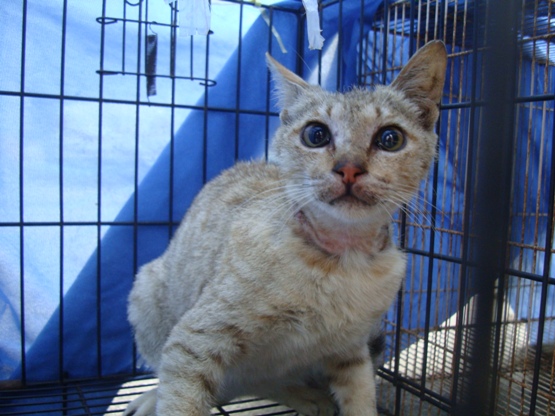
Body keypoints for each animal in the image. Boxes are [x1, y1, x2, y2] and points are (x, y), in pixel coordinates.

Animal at [124, 40, 447, 416]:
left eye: (390, 138)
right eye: (316, 134)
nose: (349, 168)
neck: (342, 261)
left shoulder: (351, 348)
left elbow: (360, 395)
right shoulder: (195, 339)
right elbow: (180, 397)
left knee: (262, 383)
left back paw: (306, 396)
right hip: (146, 289)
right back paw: (149, 398)